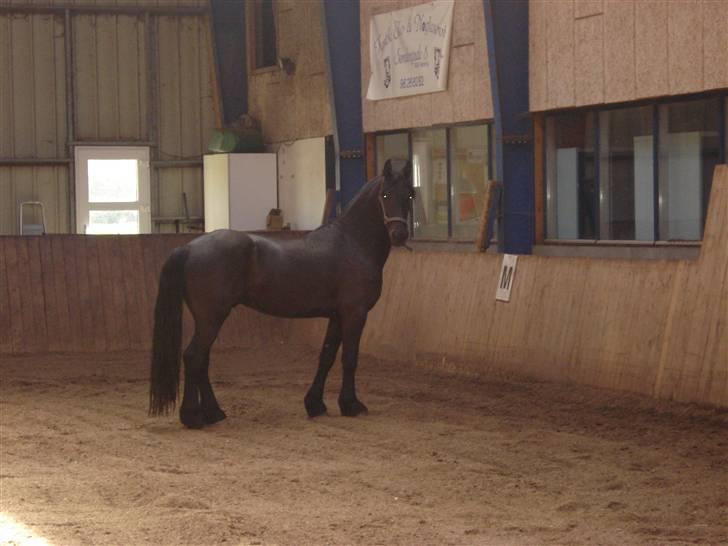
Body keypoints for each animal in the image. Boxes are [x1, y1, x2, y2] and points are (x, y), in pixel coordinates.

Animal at [148, 159, 412, 428]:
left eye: (409, 194)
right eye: (385, 194)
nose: (399, 235)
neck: (352, 243)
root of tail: (189, 248)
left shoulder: (337, 316)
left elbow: (326, 356)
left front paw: (315, 404)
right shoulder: (354, 313)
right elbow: (349, 358)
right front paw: (351, 405)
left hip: (209, 320)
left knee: (202, 360)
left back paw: (214, 412)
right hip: (211, 318)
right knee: (194, 357)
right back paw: (193, 416)